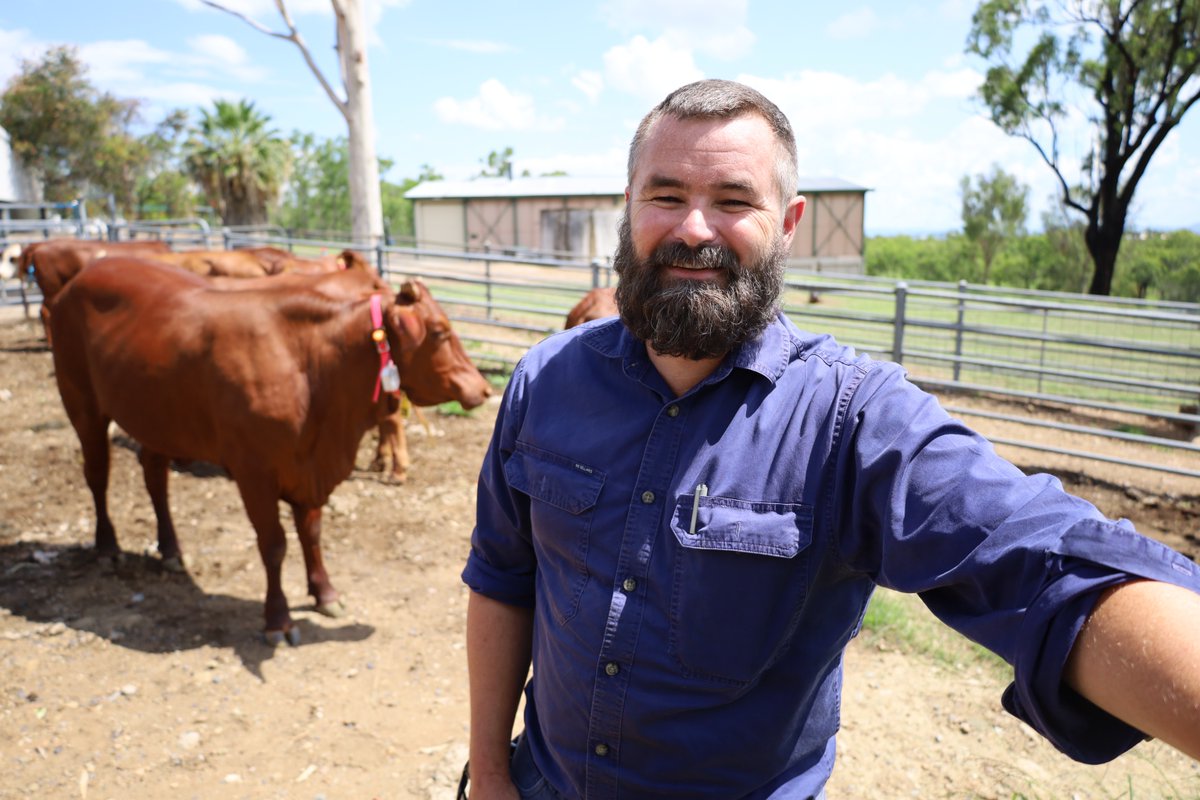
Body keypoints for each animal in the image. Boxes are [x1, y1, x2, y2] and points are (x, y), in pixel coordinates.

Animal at [50, 260, 492, 647]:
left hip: (155, 418)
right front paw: (278, 619)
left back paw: (171, 550)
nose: (484, 388)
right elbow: (274, 544)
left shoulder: (307, 468)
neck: (311, 365)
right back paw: (107, 546)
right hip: (81, 402)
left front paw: (325, 593)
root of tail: (80, 278)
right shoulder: (254, 472)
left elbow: (311, 533)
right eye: (440, 332)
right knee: (97, 473)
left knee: (155, 476)